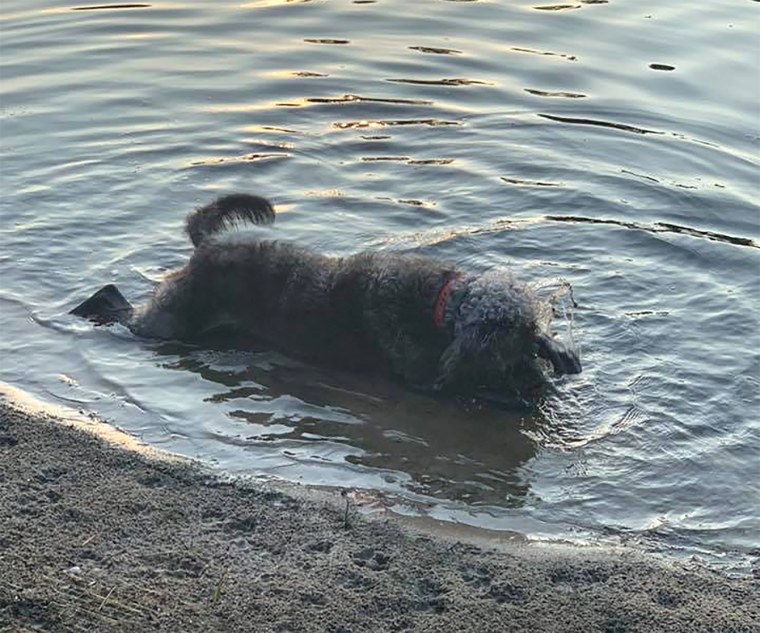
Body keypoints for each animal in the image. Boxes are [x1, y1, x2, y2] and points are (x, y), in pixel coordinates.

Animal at [72, 193, 580, 400]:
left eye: (531, 338)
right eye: (511, 348)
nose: (536, 382)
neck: (439, 306)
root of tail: (208, 246)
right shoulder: (425, 375)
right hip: (170, 321)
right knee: (120, 306)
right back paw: (88, 308)